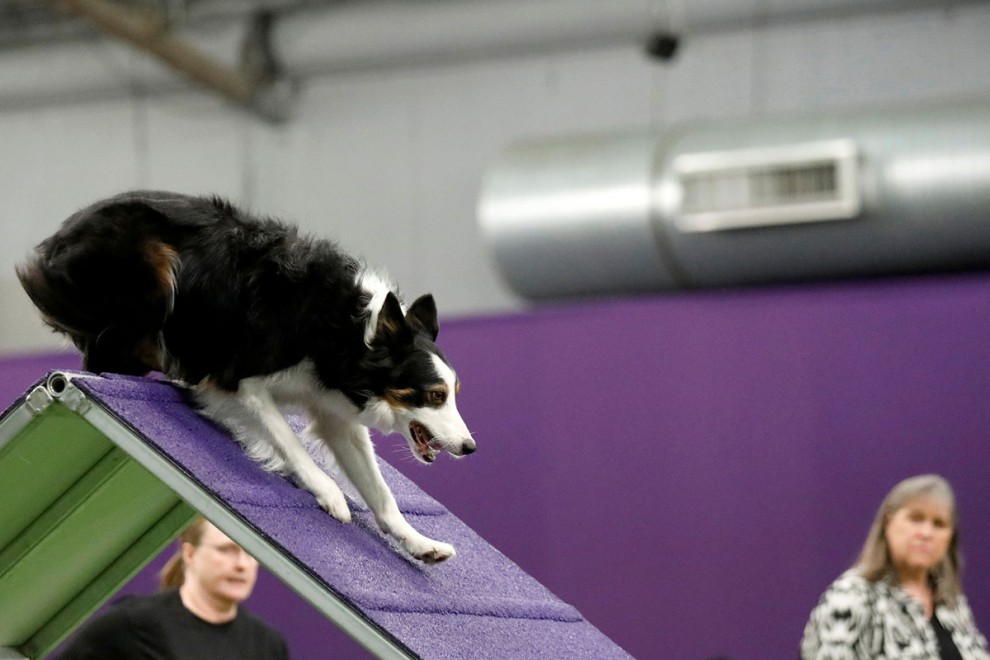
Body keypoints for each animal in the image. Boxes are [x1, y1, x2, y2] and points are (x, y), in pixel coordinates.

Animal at [17, 189, 476, 564]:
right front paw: (328, 493)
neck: (349, 334)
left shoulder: (333, 410)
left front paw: (421, 544)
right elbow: (288, 440)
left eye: (454, 392)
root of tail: (65, 230)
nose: (470, 447)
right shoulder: (242, 381)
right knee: (110, 349)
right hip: (150, 269)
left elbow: (381, 492)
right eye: (436, 395)